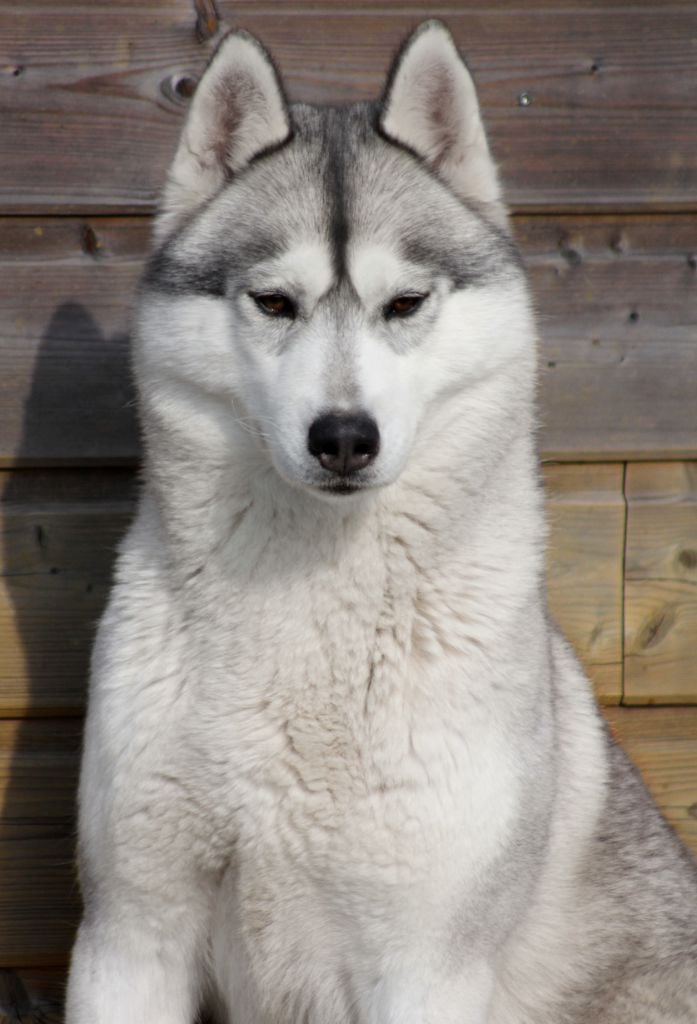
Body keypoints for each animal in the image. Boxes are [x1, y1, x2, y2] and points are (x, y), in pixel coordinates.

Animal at [65, 20, 697, 1024]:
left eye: (404, 303)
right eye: (273, 302)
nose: (342, 437)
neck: (310, 606)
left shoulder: (424, 963)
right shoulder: (129, 932)